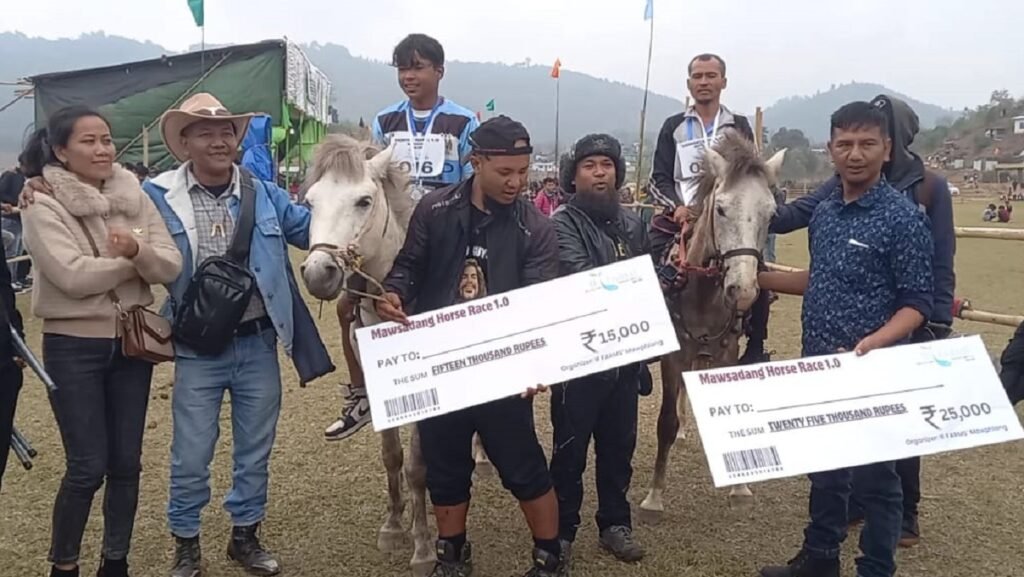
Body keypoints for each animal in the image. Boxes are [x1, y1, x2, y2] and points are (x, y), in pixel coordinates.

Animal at [638, 133, 785, 521]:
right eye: (720, 209)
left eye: (771, 213)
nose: (743, 290)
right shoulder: (674, 356)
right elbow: (665, 423)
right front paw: (654, 498)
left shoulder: (727, 352)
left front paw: (740, 488)